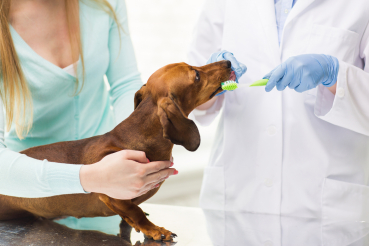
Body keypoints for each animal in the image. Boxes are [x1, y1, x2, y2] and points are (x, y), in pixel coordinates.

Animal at [0, 60, 231, 241]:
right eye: (196, 75)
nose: (228, 62)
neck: (135, 138)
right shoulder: (112, 194)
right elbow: (135, 211)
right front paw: (154, 229)